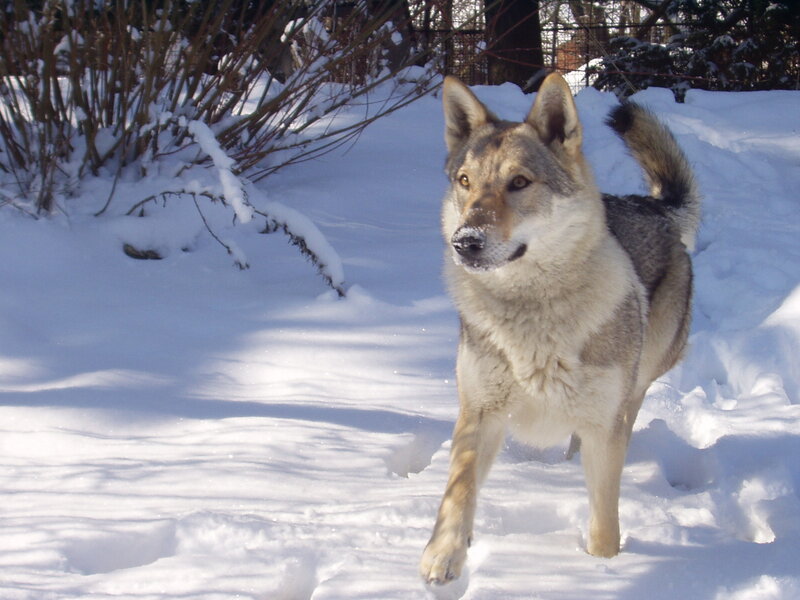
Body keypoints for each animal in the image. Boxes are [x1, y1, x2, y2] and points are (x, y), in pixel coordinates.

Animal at [420, 72, 700, 585]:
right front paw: (444, 555)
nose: (465, 242)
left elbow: (605, 523)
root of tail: (652, 207)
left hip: (634, 385)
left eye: (519, 182)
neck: (531, 315)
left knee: (621, 423)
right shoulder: (478, 412)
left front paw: (604, 573)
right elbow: (459, 490)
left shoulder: (604, 426)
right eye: (465, 182)